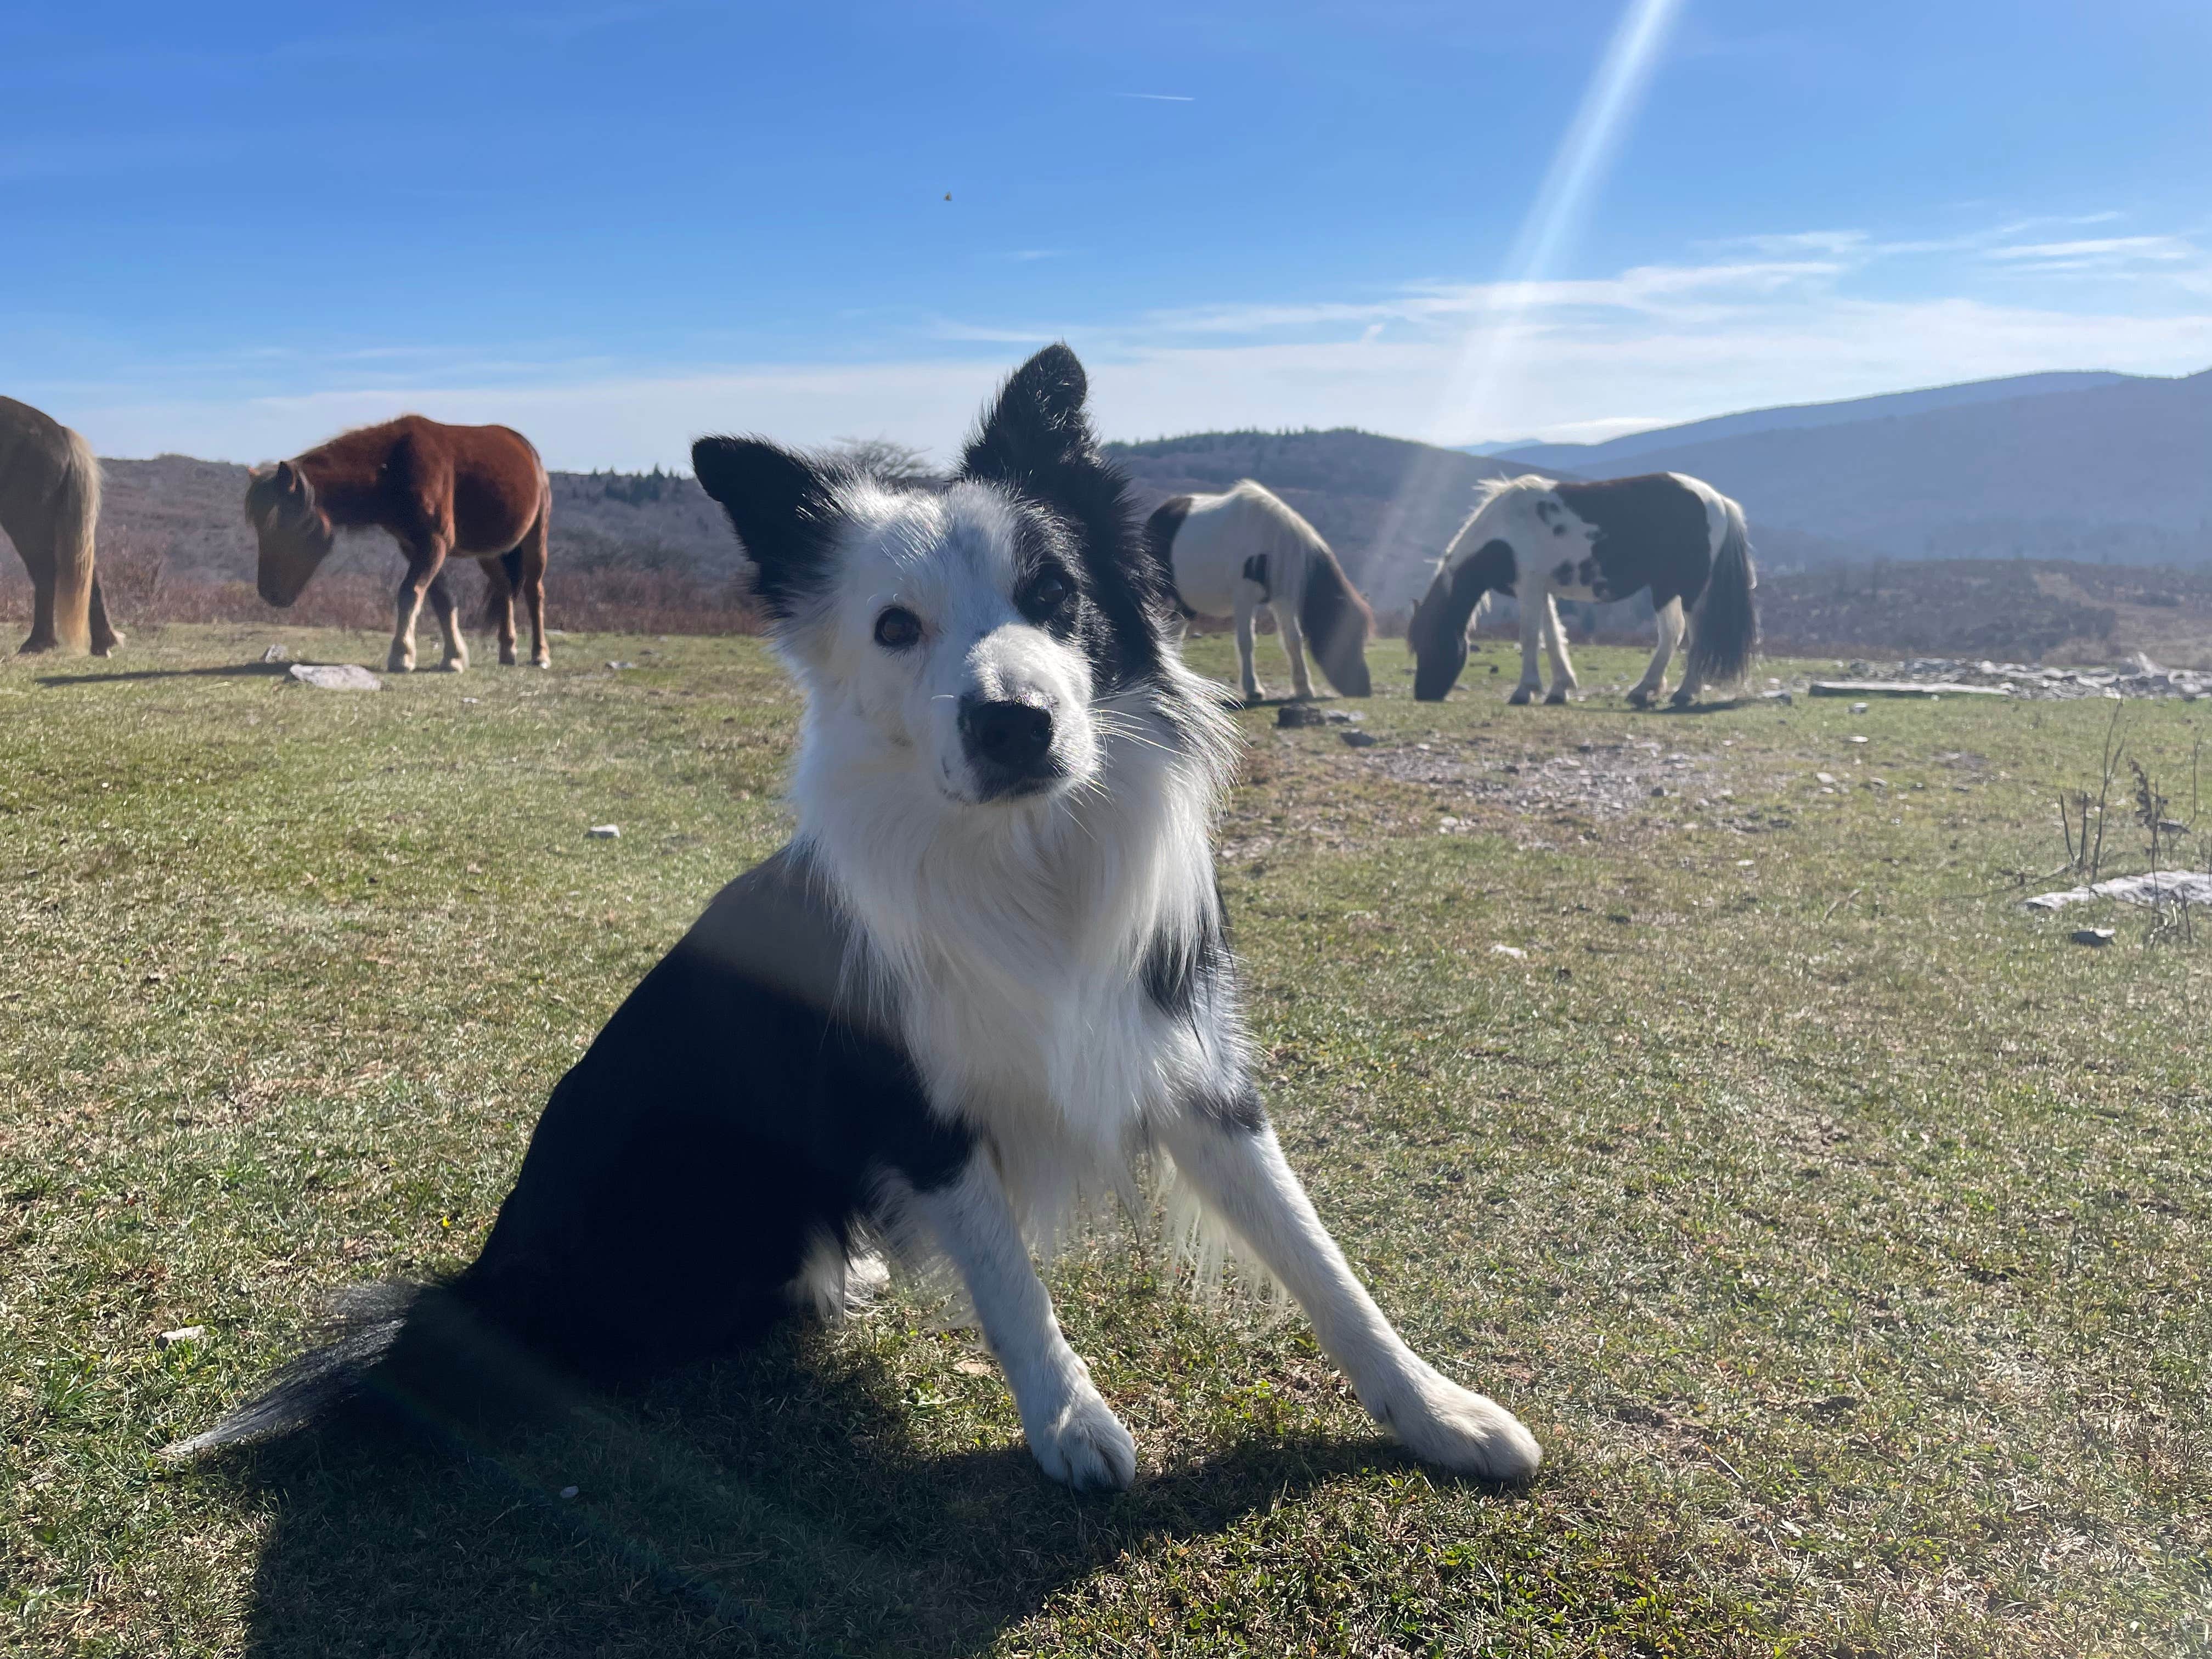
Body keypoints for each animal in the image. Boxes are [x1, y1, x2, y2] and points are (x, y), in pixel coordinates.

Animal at [242, 418, 548, 672]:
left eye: (287, 527)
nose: (270, 594)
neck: (393, 469)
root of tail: (528, 449)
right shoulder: (414, 547)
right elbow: (441, 599)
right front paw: (454, 657)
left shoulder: (434, 543)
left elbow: (410, 593)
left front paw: (402, 655)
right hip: (490, 552)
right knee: (504, 589)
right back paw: (508, 650)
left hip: (535, 539)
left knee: (534, 592)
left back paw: (540, 655)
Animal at [1150, 487, 1371, 708]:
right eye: (1349, 637)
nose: (1365, 689)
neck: (1271, 542)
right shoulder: (1244, 599)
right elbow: (1247, 641)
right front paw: (1253, 690)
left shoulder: (1283, 600)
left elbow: (1293, 640)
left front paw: (1304, 688)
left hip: (1185, 603)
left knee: (1175, 633)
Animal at [1407, 473, 1752, 708]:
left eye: (1431, 643)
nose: (1423, 694)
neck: (1506, 530)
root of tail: (1718, 500)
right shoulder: (1541, 590)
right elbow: (1552, 637)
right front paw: (1559, 689)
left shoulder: (1529, 588)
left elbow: (1529, 637)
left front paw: (1524, 691)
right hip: (1665, 588)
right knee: (1673, 634)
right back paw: (1645, 690)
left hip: (1687, 590)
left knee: (1691, 636)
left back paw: (1684, 692)